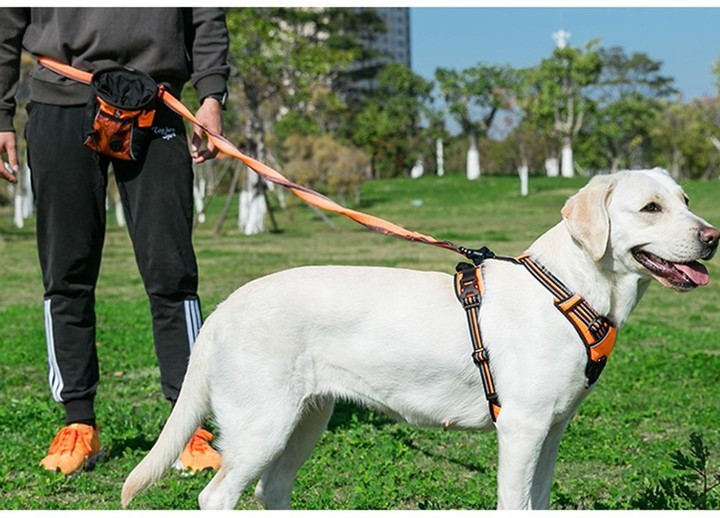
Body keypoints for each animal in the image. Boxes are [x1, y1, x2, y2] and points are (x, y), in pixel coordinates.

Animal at [122, 170, 716, 512]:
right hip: (261, 426)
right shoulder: (521, 430)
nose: (713, 236)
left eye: (686, 199)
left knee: (272, 491)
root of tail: (224, 307)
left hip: (304, 421)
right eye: (651, 208)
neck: (567, 290)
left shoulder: (552, 431)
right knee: (217, 495)